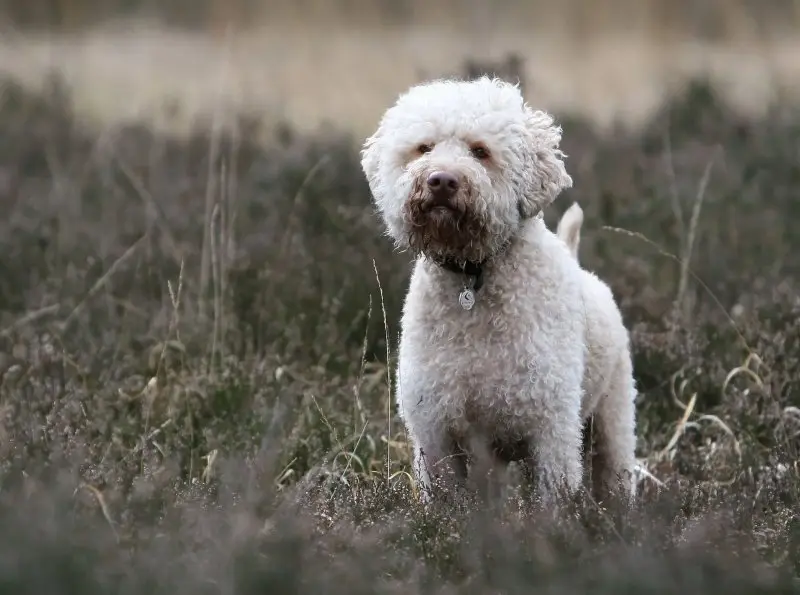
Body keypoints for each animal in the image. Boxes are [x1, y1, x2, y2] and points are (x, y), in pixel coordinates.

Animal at [362, 75, 636, 508]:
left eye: (480, 151)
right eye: (424, 147)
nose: (441, 180)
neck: (472, 277)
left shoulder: (552, 430)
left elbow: (553, 501)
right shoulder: (437, 433)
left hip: (613, 420)